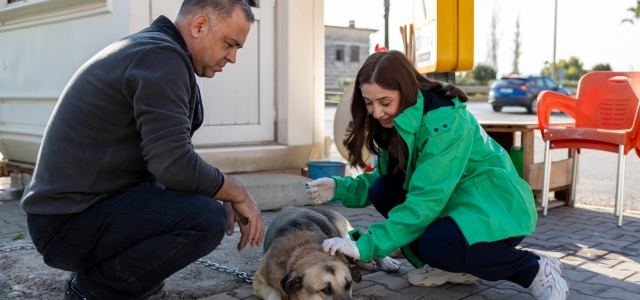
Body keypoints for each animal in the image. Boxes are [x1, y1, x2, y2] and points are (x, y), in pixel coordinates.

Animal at [251, 206, 398, 300]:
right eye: (326, 290)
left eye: (348, 285)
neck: (306, 251)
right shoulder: (258, 280)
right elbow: (274, 294)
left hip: (345, 235)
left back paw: (387, 262)